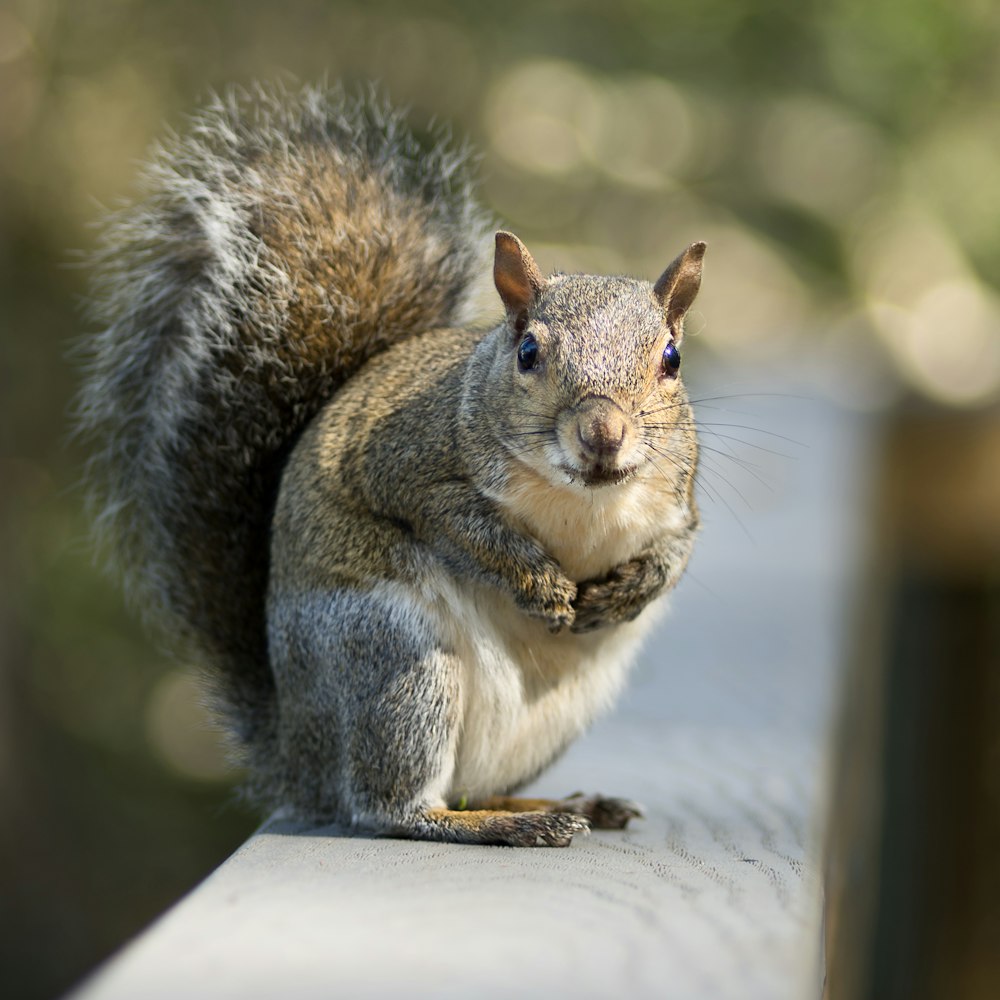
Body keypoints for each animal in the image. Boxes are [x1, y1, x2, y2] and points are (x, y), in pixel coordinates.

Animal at [80, 84, 704, 844]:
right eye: (528, 351)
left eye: (671, 359)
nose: (603, 435)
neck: (582, 499)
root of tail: (302, 757)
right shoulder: (406, 465)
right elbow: (462, 529)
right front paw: (538, 581)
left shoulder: (677, 500)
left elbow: (676, 550)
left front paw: (628, 592)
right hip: (396, 659)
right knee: (395, 807)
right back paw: (495, 824)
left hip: (553, 708)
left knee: (470, 786)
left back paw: (561, 805)